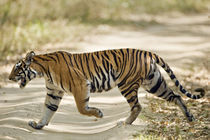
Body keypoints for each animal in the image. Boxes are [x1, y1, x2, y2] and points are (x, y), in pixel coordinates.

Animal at [8, 48, 205, 130]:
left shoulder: (80, 84)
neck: (42, 70)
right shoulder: (53, 92)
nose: (9, 78)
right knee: (176, 96)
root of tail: (147, 52)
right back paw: (190, 117)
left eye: (17, 68)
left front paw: (98, 113)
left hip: (126, 84)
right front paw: (39, 125)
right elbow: (48, 109)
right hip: (154, 83)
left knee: (137, 106)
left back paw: (125, 123)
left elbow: (81, 108)